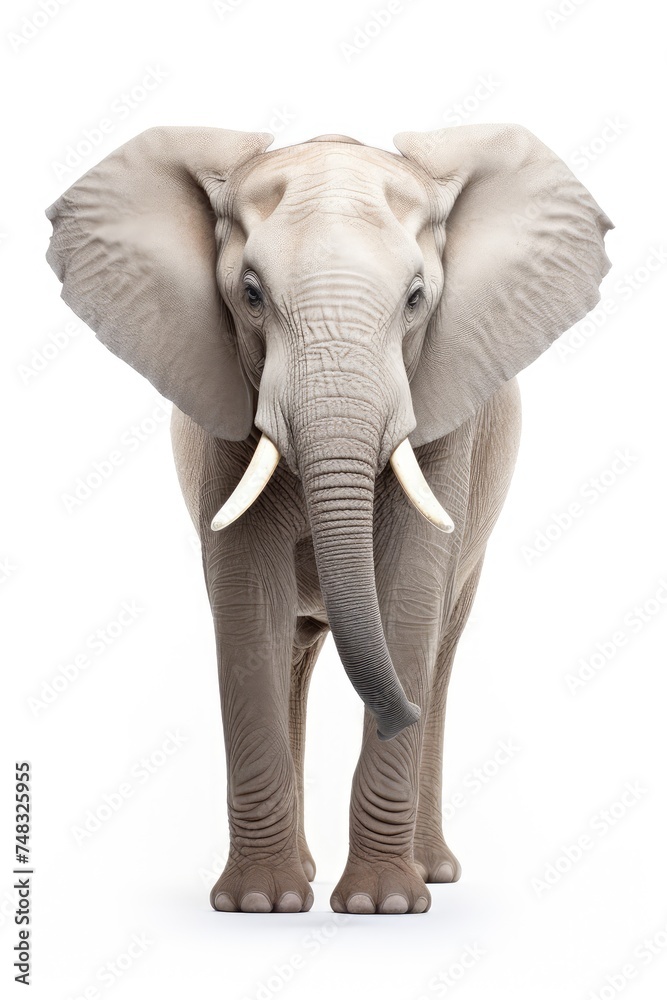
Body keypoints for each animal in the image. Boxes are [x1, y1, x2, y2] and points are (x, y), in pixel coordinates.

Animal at [46, 123, 611, 914]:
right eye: (250, 296)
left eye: (416, 299)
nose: (397, 713)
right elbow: (248, 603)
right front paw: (262, 905)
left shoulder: (444, 414)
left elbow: (408, 596)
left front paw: (385, 907)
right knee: (290, 646)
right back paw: (306, 875)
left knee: (441, 646)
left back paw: (429, 866)